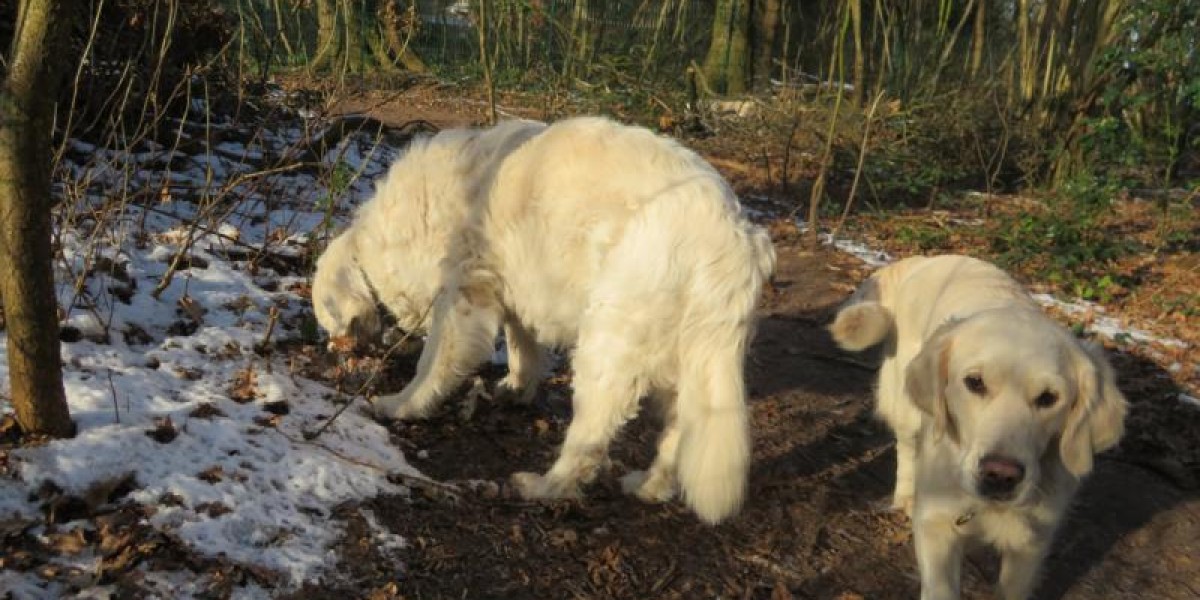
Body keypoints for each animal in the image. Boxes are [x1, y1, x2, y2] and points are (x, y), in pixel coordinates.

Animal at [314, 114, 772, 523]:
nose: (337, 353)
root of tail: (734, 236)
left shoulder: (461, 297)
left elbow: (434, 365)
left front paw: (402, 404)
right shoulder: (512, 287)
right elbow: (522, 344)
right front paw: (517, 388)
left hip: (608, 343)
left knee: (590, 440)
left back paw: (544, 486)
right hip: (686, 360)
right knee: (678, 430)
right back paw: (647, 486)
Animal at [835, 255, 1123, 600]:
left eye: (1048, 398)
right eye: (975, 382)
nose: (1000, 475)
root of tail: (925, 259)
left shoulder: (1032, 542)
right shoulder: (937, 525)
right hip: (904, 405)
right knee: (905, 447)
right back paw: (904, 495)